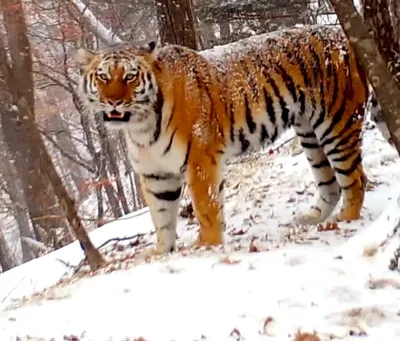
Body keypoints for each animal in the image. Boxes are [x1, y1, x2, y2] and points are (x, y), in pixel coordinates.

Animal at [76, 24, 382, 255]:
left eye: (130, 77)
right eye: (103, 76)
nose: (114, 102)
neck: (140, 126)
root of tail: (343, 34)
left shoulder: (199, 159)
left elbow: (206, 206)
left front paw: (207, 246)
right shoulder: (155, 174)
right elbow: (161, 215)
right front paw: (161, 250)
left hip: (336, 124)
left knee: (356, 178)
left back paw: (346, 219)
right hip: (309, 133)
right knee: (330, 183)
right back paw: (314, 218)